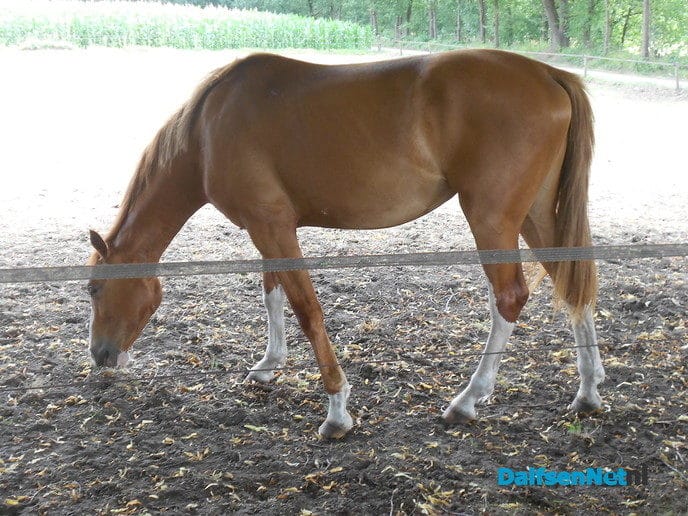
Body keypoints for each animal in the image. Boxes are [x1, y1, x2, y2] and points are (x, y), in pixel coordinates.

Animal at [87, 49, 605, 439]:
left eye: (93, 288)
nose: (101, 355)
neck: (207, 130)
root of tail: (548, 74)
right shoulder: (266, 229)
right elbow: (272, 293)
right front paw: (269, 365)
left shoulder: (273, 227)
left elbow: (306, 309)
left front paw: (336, 409)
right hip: (535, 215)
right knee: (571, 283)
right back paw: (588, 391)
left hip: (492, 220)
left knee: (509, 298)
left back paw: (468, 399)